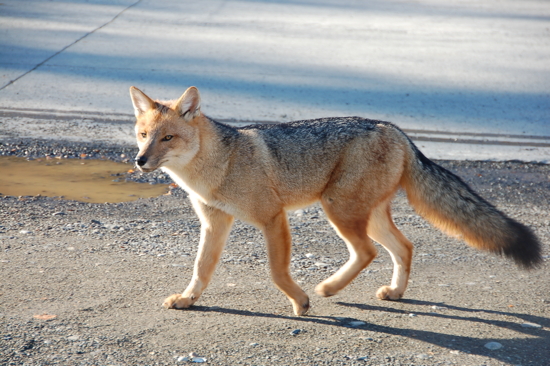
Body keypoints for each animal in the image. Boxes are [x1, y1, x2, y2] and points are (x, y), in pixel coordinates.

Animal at [129, 85, 544, 314]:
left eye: (168, 138)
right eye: (143, 135)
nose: (139, 160)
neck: (221, 164)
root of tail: (394, 129)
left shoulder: (273, 217)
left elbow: (276, 271)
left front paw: (299, 302)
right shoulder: (214, 222)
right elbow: (201, 269)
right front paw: (188, 299)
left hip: (338, 210)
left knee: (369, 252)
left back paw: (328, 288)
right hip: (365, 215)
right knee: (404, 247)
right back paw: (394, 292)